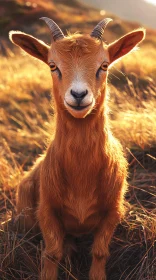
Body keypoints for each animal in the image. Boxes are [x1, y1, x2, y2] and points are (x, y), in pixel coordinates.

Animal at [9, 18, 146, 280]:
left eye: (104, 65)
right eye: (53, 65)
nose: (79, 94)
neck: (81, 173)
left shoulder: (113, 211)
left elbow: (100, 252)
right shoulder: (47, 211)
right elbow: (51, 253)